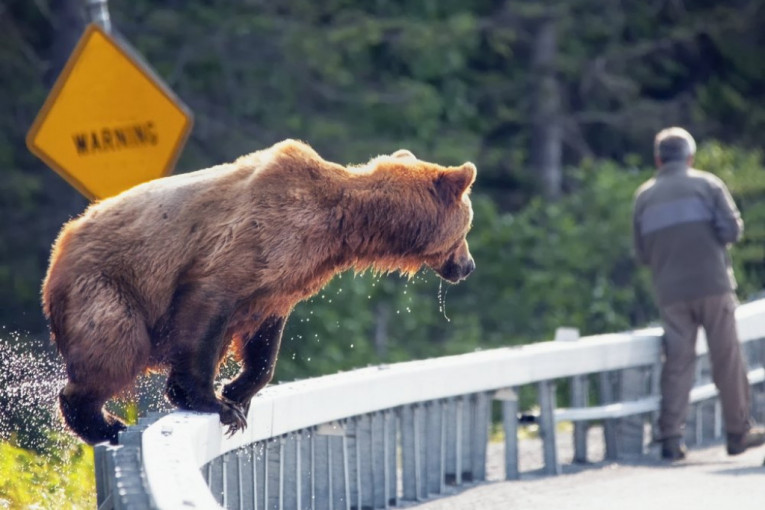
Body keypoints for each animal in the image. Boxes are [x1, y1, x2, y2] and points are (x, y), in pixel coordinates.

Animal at [41, 138, 474, 442]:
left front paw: (238, 393)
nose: (468, 266)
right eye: (467, 227)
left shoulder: (282, 281)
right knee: (114, 346)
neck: (340, 226)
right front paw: (214, 403)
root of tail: (59, 247)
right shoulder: (243, 244)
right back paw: (106, 423)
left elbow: (264, 341)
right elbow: (204, 312)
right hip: (107, 285)